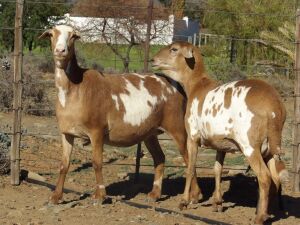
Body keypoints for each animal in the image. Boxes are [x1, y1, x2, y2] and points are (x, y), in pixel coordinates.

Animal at [38, 25, 202, 205]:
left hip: (177, 126)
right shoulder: (66, 133)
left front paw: (100, 196)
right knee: (160, 157)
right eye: (51, 34)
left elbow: (97, 163)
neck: (76, 87)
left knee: (189, 160)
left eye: (73, 36)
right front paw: (55, 196)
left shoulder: (96, 131)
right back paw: (155, 194)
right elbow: (64, 165)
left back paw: (195, 196)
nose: (61, 50)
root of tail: (176, 85)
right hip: (150, 132)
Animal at [152, 41, 288, 224]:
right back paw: (263, 213)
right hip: (271, 147)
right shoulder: (221, 144)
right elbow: (217, 169)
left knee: (264, 177)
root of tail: (275, 106)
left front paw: (184, 202)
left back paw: (259, 218)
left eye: (174, 49)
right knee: (274, 180)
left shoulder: (192, 137)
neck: (196, 85)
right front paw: (217, 203)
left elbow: (190, 168)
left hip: (250, 145)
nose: (153, 60)